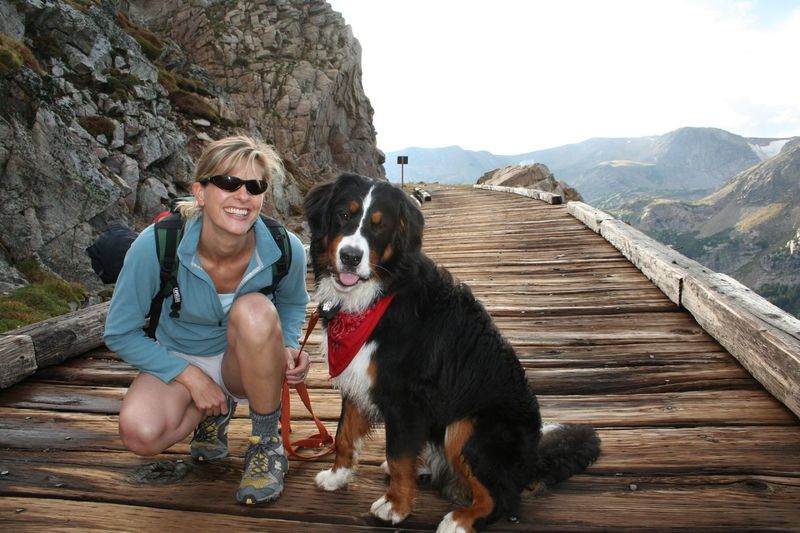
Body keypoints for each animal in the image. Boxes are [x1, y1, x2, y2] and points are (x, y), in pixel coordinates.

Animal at [304, 175, 596, 532]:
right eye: (344, 214)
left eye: (379, 225)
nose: (349, 256)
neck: (375, 296)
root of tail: (531, 461)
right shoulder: (357, 378)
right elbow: (344, 434)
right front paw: (337, 476)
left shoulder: (405, 400)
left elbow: (398, 457)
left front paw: (396, 506)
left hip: (469, 427)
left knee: (501, 498)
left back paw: (461, 519)